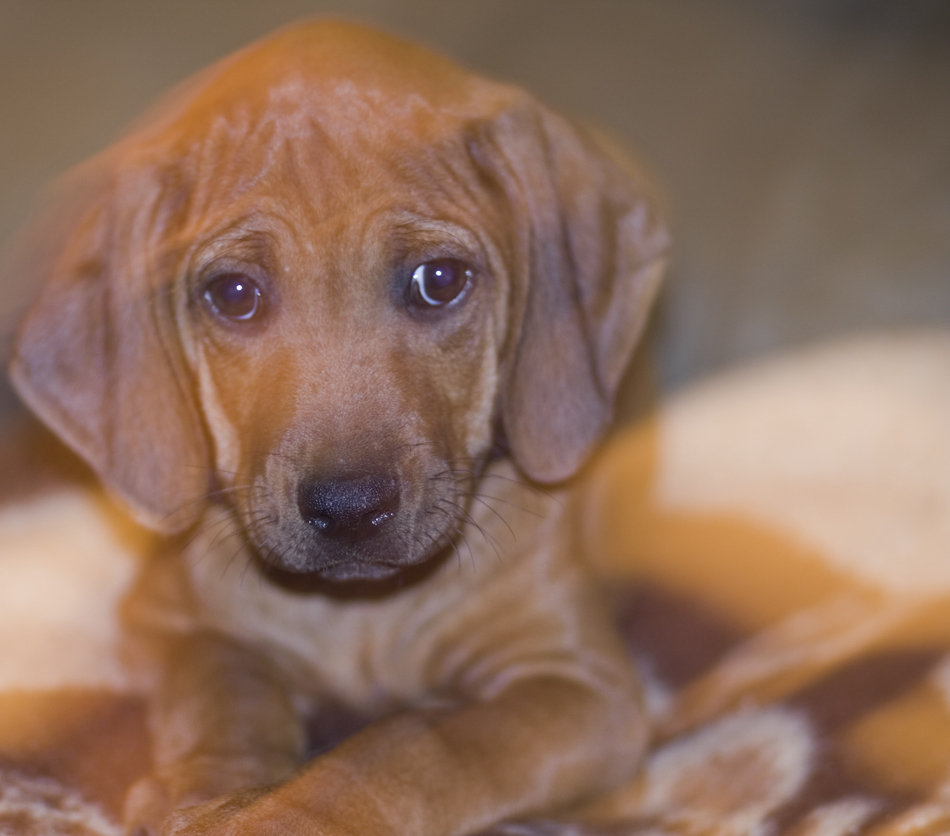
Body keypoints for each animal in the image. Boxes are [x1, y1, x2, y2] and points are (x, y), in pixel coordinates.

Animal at [7, 19, 668, 836]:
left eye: (439, 280)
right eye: (234, 293)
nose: (349, 509)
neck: (360, 619)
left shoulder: (580, 686)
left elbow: (415, 741)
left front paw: (286, 813)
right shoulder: (167, 619)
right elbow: (225, 684)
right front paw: (211, 788)